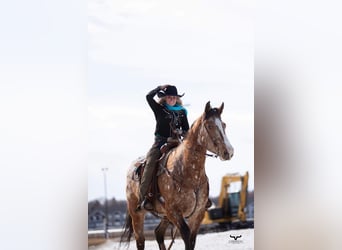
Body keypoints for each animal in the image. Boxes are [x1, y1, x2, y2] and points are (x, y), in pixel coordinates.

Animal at [121, 101, 235, 250]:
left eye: (224, 125)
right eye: (210, 125)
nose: (229, 151)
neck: (189, 175)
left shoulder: (198, 213)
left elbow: (191, 240)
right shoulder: (174, 212)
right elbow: (186, 235)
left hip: (164, 216)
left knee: (158, 233)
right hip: (137, 213)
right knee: (140, 240)